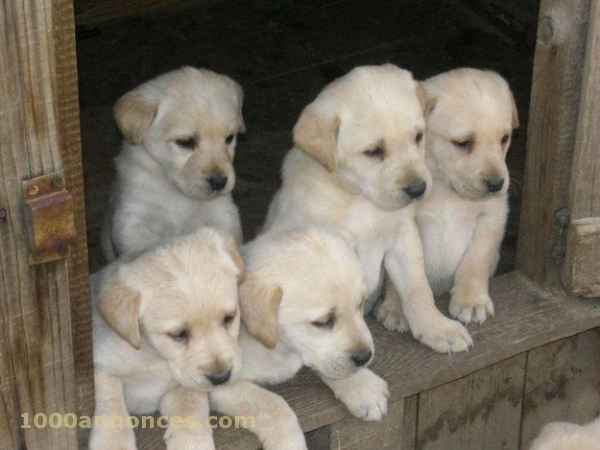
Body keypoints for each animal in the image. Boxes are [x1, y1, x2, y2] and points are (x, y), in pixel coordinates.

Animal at [87, 230, 246, 450]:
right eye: (179, 334)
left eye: (229, 318)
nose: (221, 377)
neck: (152, 355)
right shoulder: (101, 366)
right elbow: (112, 407)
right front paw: (113, 442)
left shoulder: (181, 386)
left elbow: (190, 410)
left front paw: (192, 442)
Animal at [102, 67, 245, 260]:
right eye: (185, 142)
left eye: (229, 138)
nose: (219, 182)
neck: (176, 192)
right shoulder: (133, 219)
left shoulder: (223, 213)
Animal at [210, 227, 390, 444]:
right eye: (323, 322)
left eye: (360, 304)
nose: (365, 357)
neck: (279, 347)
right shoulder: (214, 384)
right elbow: (272, 405)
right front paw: (289, 442)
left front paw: (363, 386)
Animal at [262, 64, 474, 352]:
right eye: (373, 151)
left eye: (418, 137)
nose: (418, 189)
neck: (361, 199)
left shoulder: (403, 238)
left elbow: (417, 288)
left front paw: (437, 328)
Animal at [378, 67, 516, 326]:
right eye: (463, 143)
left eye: (504, 138)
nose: (497, 184)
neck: (445, 188)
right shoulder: (403, 224)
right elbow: (404, 275)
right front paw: (396, 308)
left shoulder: (492, 215)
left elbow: (476, 259)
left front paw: (472, 301)